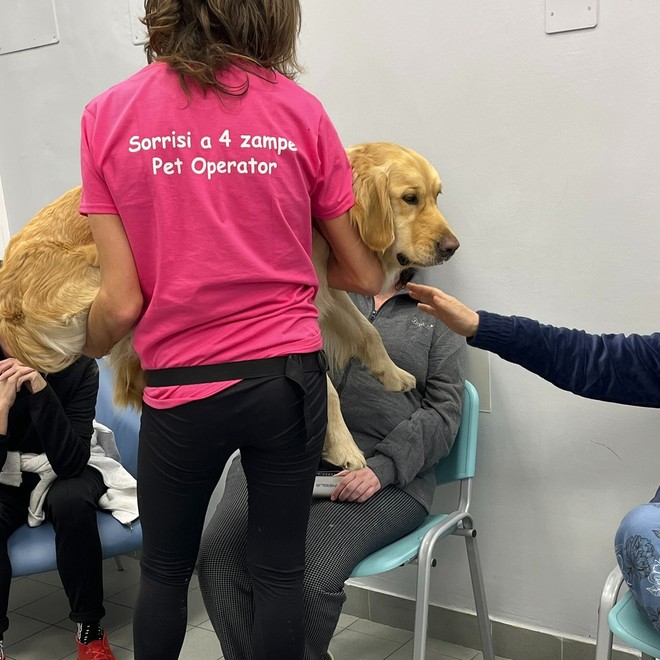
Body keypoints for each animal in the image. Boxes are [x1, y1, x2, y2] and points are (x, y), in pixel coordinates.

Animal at [0, 140, 456, 470]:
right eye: (410, 198)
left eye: (437, 196)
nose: (452, 247)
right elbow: (326, 389)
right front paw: (343, 447)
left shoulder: (329, 292)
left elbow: (369, 331)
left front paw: (392, 375)